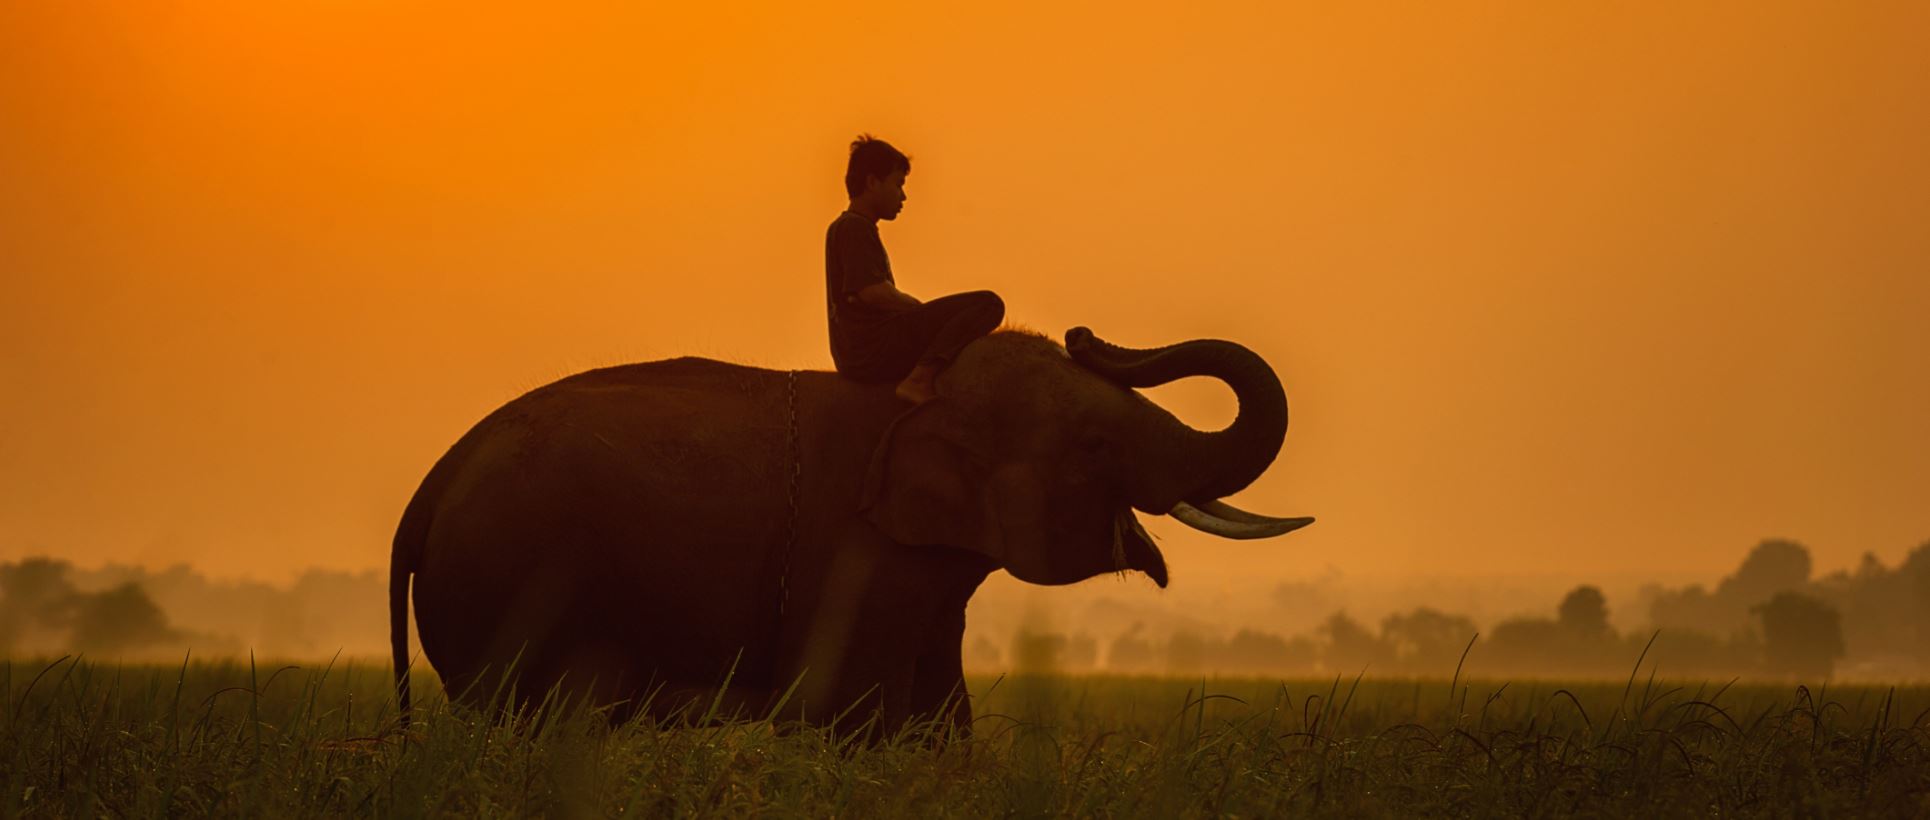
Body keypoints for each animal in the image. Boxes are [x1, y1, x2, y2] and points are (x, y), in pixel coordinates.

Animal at [389, 327, 1311, 733]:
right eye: (1095, 446)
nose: (1086, 333)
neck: (923, 394)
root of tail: (429, 488)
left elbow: (941, 715)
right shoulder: (857, 554)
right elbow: (855, 712)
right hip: (510, 586)